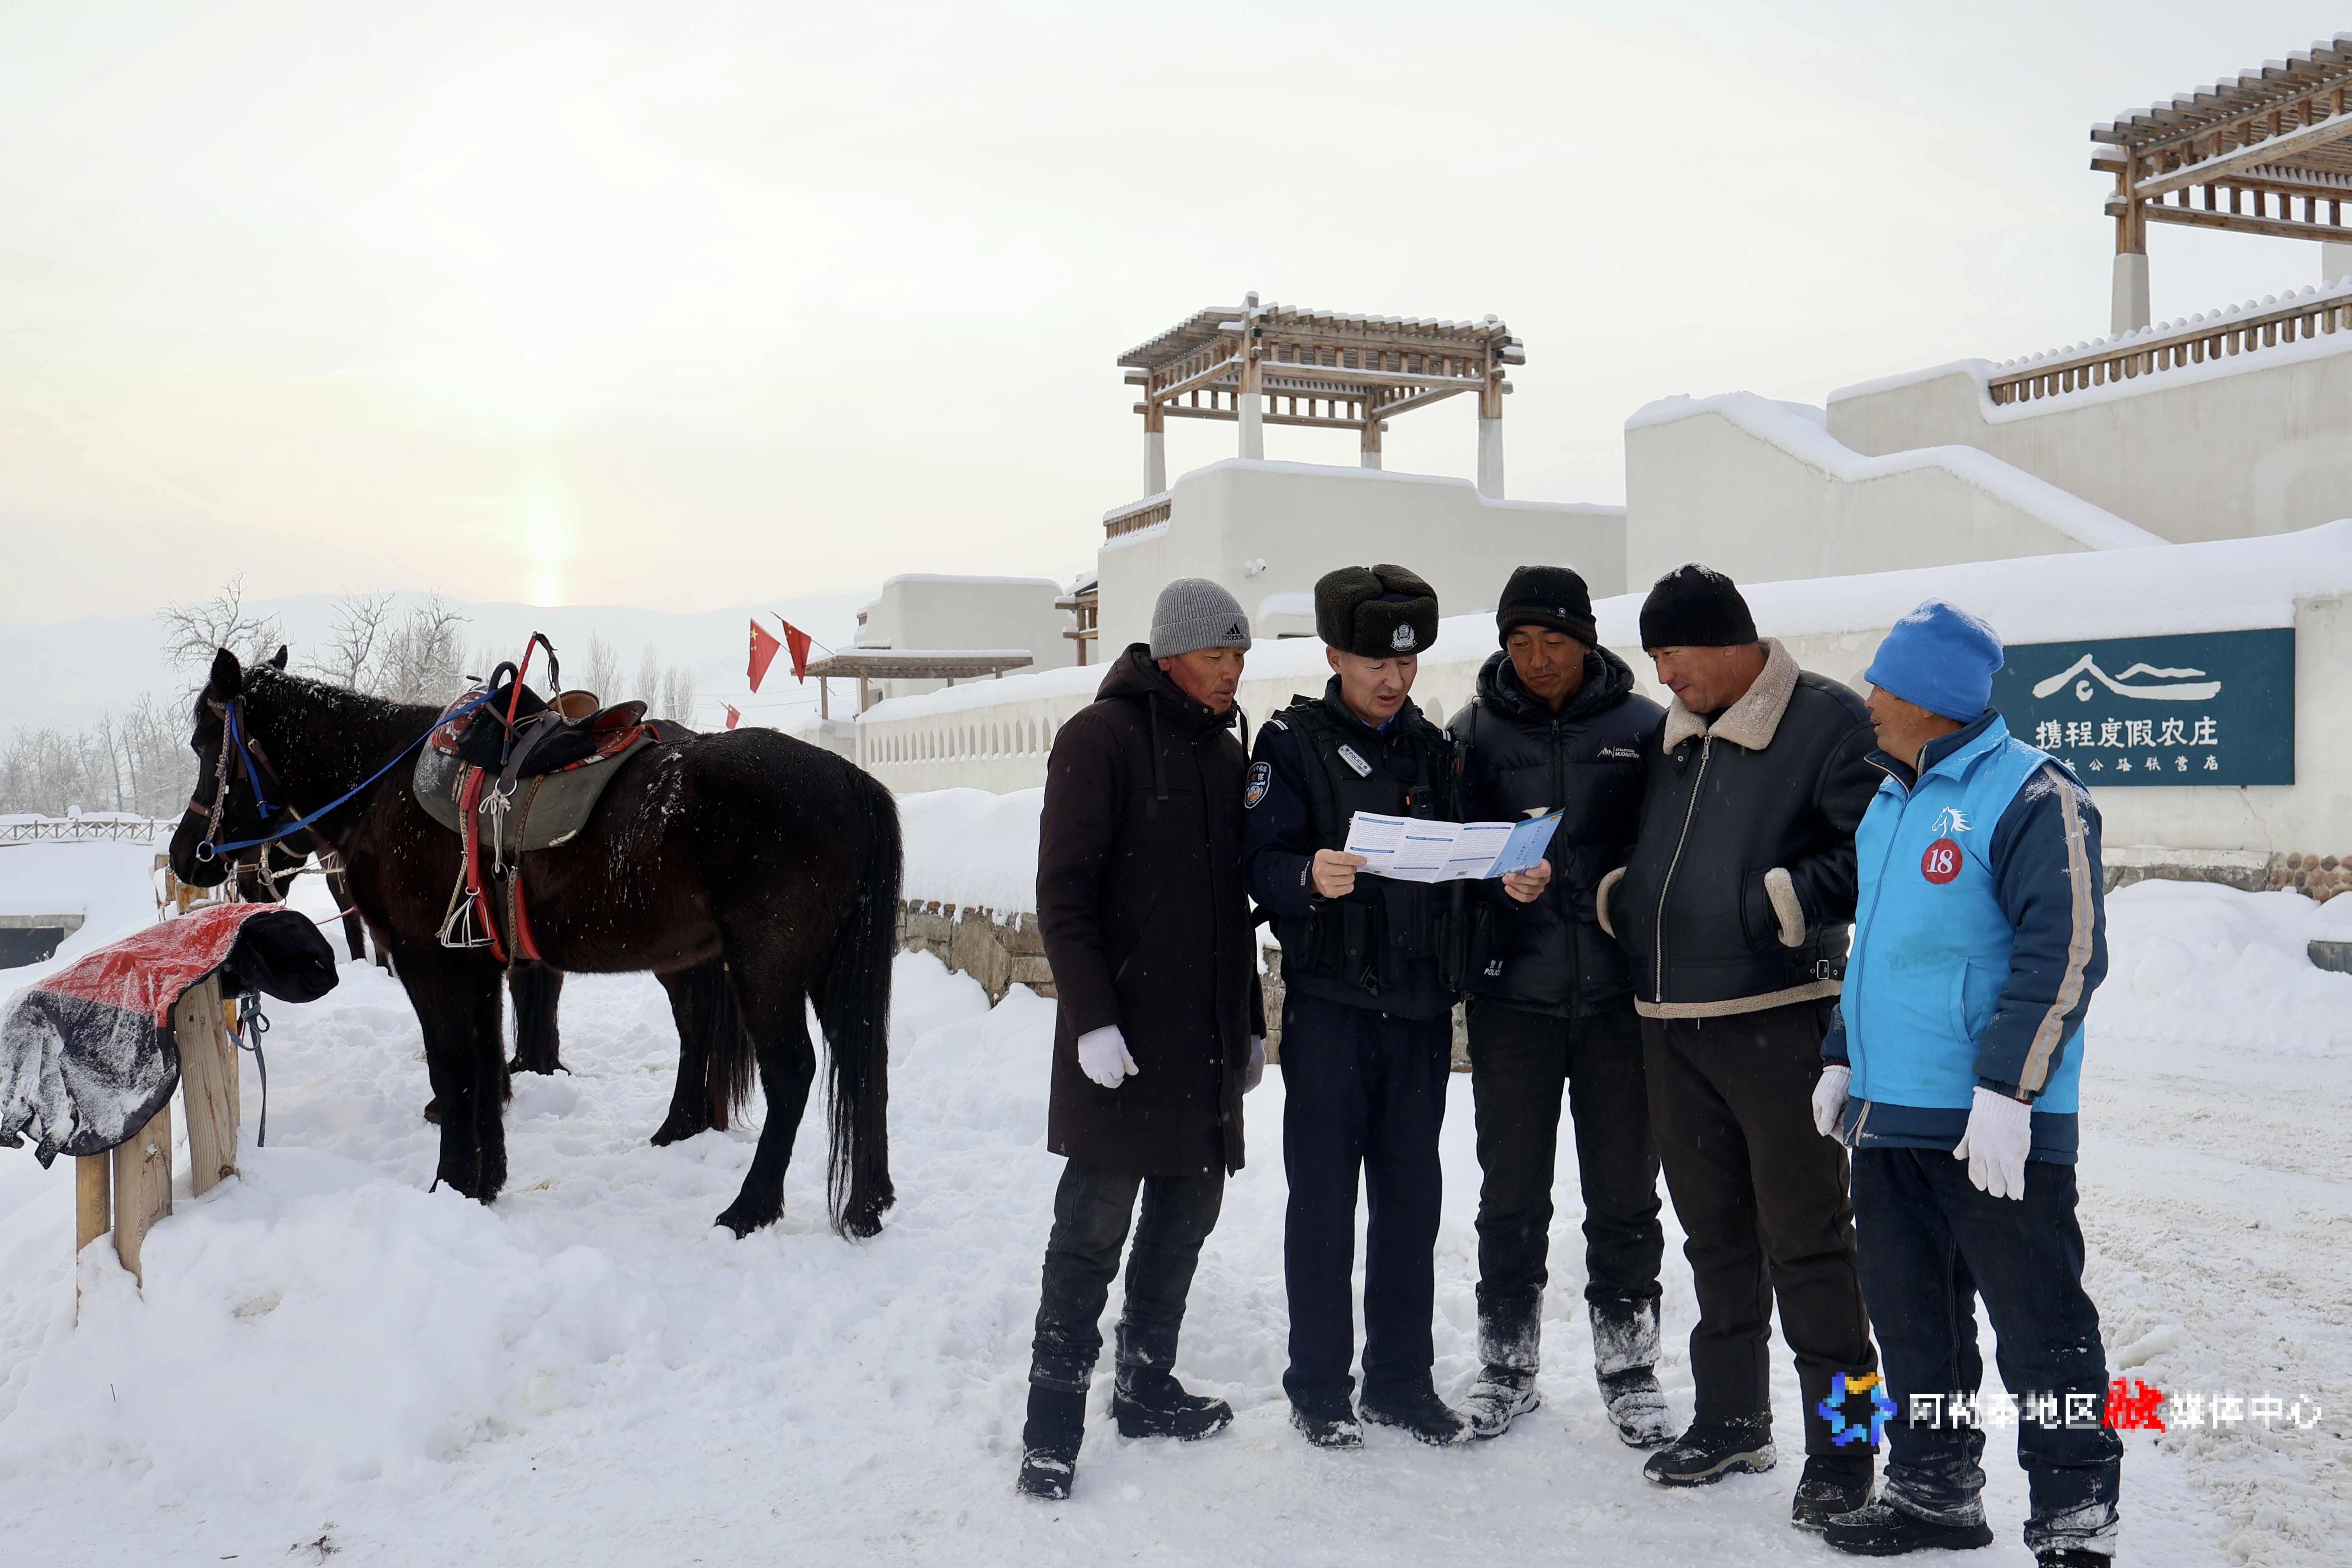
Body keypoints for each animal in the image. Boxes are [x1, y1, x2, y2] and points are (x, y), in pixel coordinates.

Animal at [168, 646, 900, 1238]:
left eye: (206, 744)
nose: (187, 857)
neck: (383, 785)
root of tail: (852, 779)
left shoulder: (428, 962)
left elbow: (454, 1068)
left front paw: (452, 1182)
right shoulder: (479, 967)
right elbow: (487, 1063)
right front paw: (486, 1181)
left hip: (766, 969)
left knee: (792, 1073)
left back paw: (750, 1208)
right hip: (816, 971)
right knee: (855, 1064)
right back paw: (861, 1202)